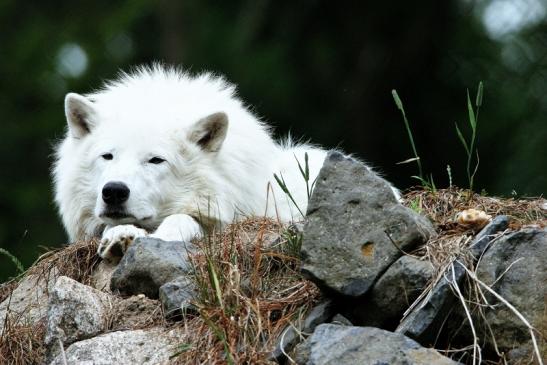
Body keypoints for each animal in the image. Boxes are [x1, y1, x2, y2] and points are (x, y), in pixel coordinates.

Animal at [52, 64, 330, 258]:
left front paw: (163, 235)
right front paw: (121, 235)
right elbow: (110, 226)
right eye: (108, 156)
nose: (114, 191)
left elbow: (183, 218)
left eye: (156, 160)